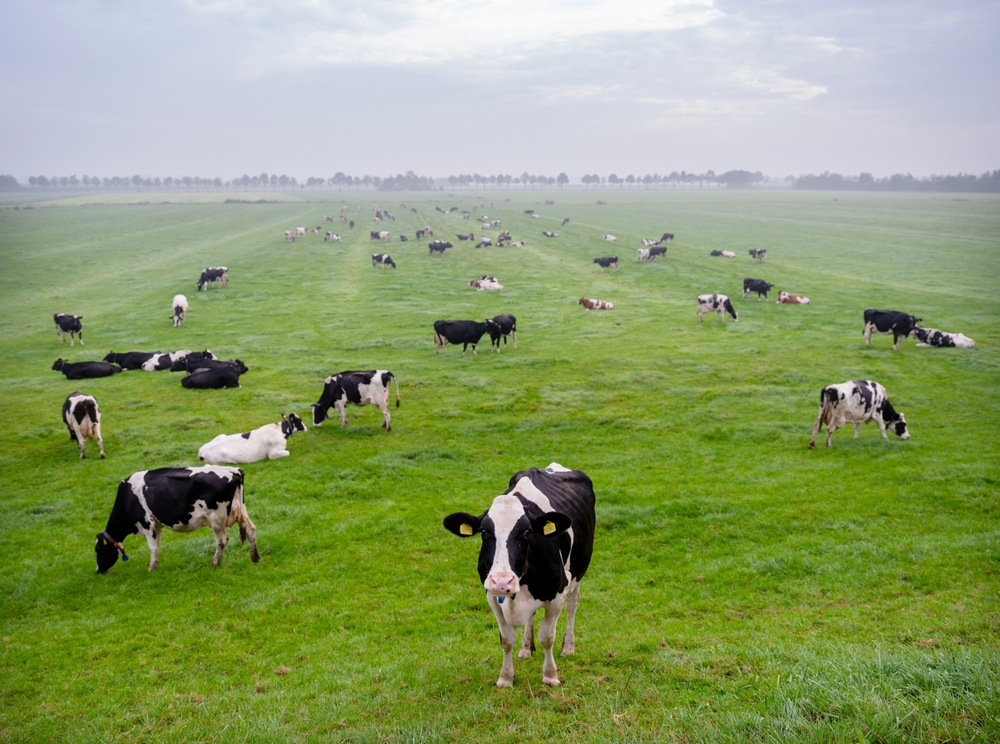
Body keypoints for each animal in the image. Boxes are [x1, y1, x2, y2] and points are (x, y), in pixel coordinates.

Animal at [94, 464, 258, 576]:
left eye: (98, 549)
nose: (98, 570)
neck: (127, 499)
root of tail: (233, 471)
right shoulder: (156, 525)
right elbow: (156, 545)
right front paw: (155, 564)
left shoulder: (147, 522)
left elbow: (152, 546)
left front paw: (151, 568)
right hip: (241, 510)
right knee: (251, 529)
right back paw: (255, 558)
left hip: (216, 518)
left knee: (222, 540)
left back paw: (215, 563)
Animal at [444, 462, 592, 688]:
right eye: (484, 532)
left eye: (527, 533)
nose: (501, 581)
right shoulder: (492, 596)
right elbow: (506, 640)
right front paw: (505, 678)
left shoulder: (557, 594)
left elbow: (547, 637)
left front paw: (550, 676)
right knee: (531, 616)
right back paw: (526, 648)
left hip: (577, 574)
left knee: (572, 606)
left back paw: (568, 647)